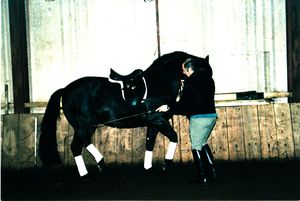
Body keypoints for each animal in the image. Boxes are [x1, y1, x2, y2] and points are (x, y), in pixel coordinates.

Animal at [38, 50, 211, 177]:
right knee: (76, 146)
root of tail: (66, 89)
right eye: (204, 71)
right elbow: (174, 137)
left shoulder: (154, 123)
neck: (159, 82)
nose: (207, 94)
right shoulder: (159, 119)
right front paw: (165, 165)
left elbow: (149, 143)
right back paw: (86, 174)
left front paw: (149, 168)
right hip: (84, 125)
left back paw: (100, 163)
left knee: (83, 142)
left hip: (87, 125)